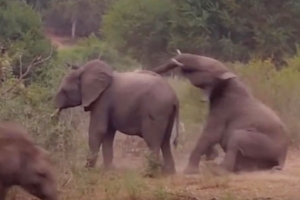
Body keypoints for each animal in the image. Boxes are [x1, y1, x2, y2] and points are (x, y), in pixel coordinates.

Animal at [51, 59, 180, 173]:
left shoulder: (102, 100)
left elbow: (98, 130)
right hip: (166, 112)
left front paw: (87, 170)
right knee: (165, 141)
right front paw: (109, 170)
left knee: (153, 141)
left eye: (64, 91)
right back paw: (168, 173)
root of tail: (175, 97)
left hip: (156, 110)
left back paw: (150, 172)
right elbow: (108, 134)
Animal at [152, 52, 290, 174]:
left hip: (265, 144)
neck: (226, 79)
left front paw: (189, 172)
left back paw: (219, 171)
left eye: (203, 69)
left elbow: (211, 134)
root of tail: (283, 157)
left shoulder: (224, 109)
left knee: (237, 137)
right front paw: (210, 156)